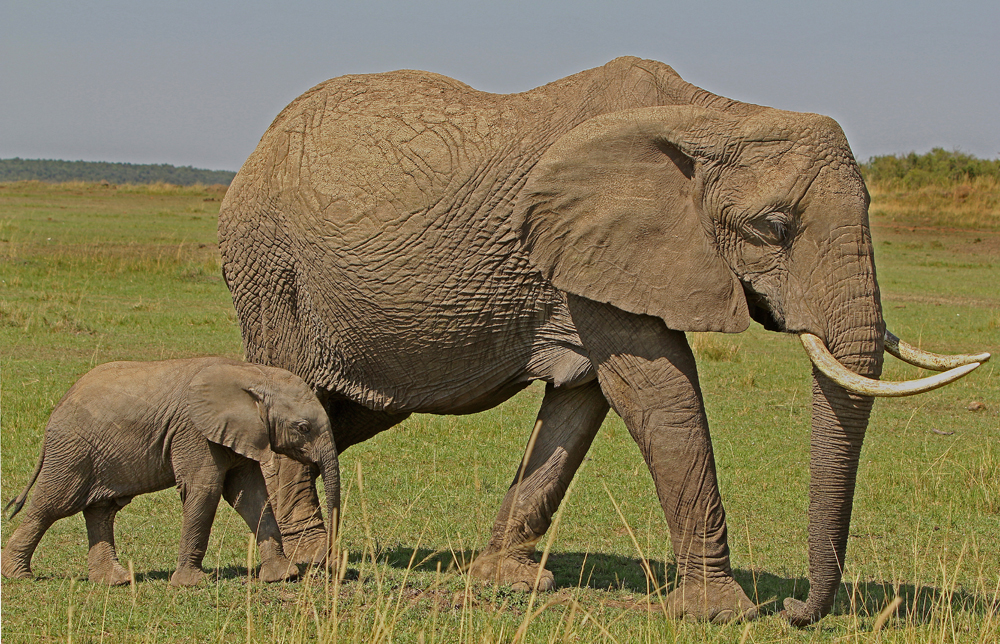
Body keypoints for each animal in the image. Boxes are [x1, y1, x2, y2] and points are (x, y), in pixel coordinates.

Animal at [0, 358, 340, 588]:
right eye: (303, 428)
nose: (326, 564)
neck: (251, 373)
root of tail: (56, 410)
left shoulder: (240, 433)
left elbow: (251, 497)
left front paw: (282, 576)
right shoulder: (194, 431)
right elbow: (205, 490)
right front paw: (191, 584)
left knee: (100, 511)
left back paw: (116, 581)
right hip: (72, 451)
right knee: (50, 506)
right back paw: (18, 575)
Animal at [217, 59, 984, 624]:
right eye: (773, 227)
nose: (798, 609)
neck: (715, 116)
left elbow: (582, 403)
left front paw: (512, 582)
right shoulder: (595, 249)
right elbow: (657, 388)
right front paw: (723, 614)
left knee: (347, 410)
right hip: (271, 268)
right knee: (296, 389)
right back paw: (311, 564)